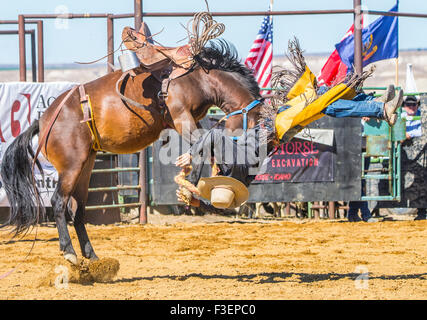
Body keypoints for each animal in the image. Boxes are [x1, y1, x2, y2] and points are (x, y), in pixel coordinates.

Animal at [0, 40, 264, 264]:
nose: (250, 168)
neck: (198, 78)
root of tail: (43, 121)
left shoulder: (192, 120)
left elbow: (205, 144)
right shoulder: (181, 117)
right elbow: (205, 143)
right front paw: (195, 188)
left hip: (85, 165)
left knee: (78, 209)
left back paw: (91, 255)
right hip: (71, 167)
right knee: (58, 202)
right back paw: (69, 252)